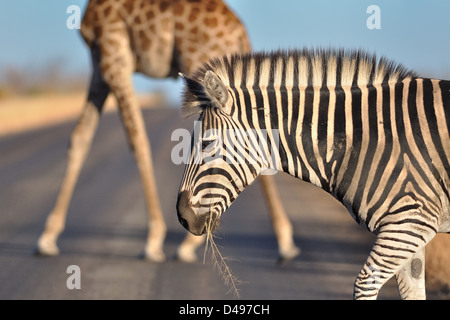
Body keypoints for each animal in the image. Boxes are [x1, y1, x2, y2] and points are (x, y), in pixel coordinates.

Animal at [36, 0, 298, 262]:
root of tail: (240, 31)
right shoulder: (99, 67)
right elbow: (80, 138)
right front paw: (47, 237)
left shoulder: (113, 56)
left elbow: (137, 139)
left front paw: (153, 240)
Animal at [177, 48, 450, 298]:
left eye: (206, 143)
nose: (182, 218)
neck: (365, 140)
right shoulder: (408, 229)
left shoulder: (408, 224)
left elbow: (364, 285)